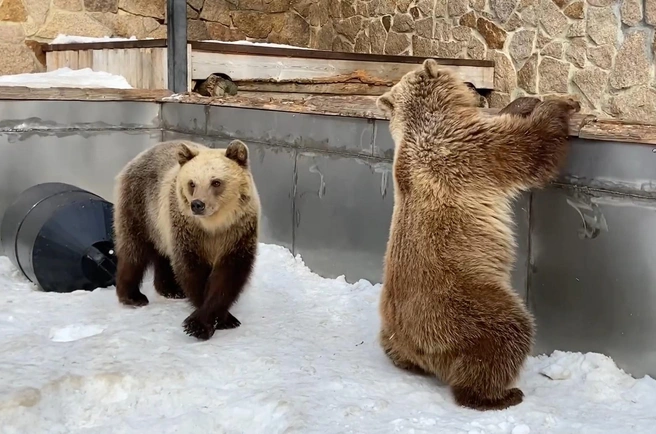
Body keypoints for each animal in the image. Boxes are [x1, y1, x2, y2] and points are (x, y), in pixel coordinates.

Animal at [113, 137, 258, 340]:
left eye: (216, 182)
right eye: (192, 183)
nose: (197, 204)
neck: (213, 226)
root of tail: (139, 156)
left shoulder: (237, 233)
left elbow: (229, 275)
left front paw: (220, 319)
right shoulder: (188, 232)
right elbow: (192, 271)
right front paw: (202, 324)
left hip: (160, 223)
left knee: (162, 254)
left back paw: (170, 289)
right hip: (140, 205)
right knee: (134, 249)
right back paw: (133, 296)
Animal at [374, 58, 580, 410]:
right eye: (467, 81)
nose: (477, 89)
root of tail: (418, 346)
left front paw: (525, 102)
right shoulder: (466, 151)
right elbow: (527, 148)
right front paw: (560, 104)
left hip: (393, 327)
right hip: (463, 304)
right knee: (506, 332)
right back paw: (499, 394)